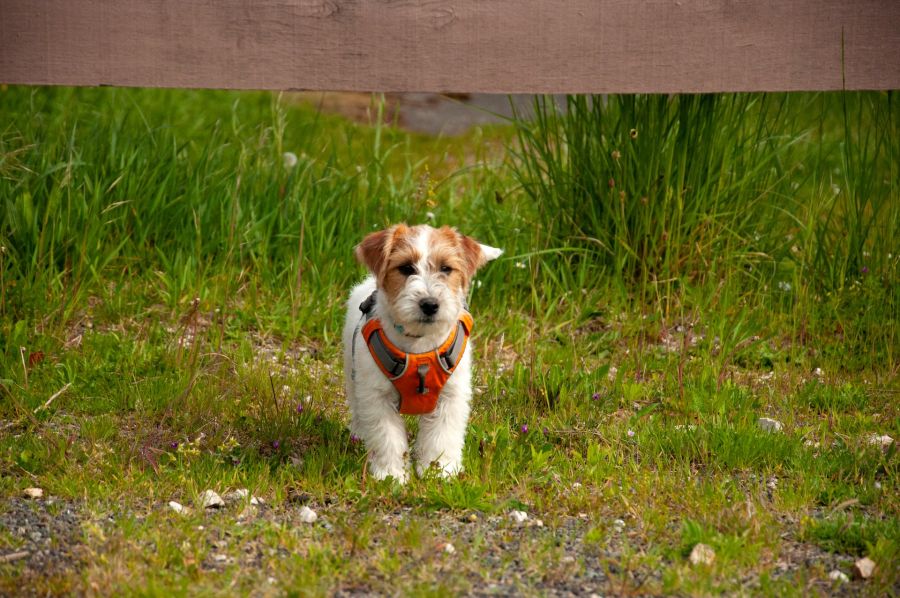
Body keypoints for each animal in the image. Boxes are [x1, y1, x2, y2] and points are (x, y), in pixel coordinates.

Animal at [342, 224, 502, 482]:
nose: (429, 304)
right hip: (352, 372)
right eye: (406, 268)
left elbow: (442, 437)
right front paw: (391, 474)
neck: (419, 346)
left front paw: (440, 470)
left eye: (446, 268)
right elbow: (387, 438)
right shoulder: (377, 396)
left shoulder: (450, 396)